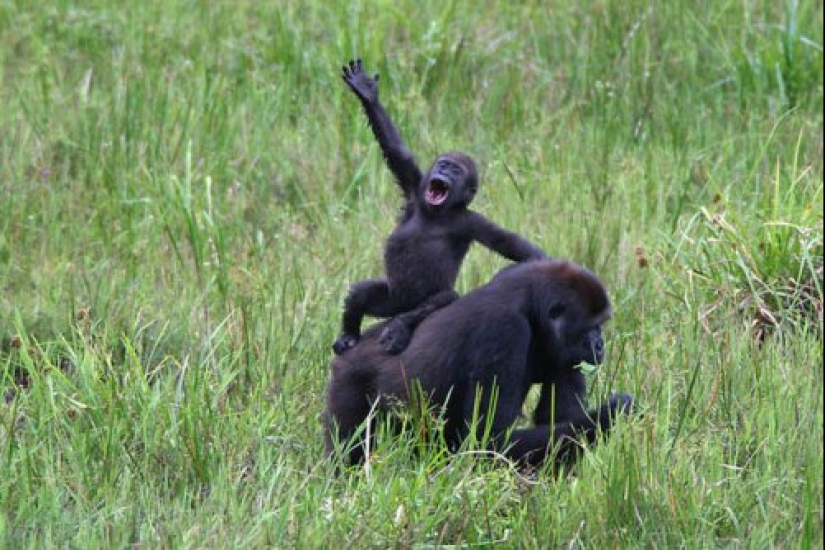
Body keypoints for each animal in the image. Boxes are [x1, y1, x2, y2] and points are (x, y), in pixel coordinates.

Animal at [322, 260, 632, 468]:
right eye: (590, 327)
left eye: (601, 325)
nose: (599, 345)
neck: (532, 305)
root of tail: (355, 344)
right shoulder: (504, 329)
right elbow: (490, 440)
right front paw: (614, 412)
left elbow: (560, 421)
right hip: (348, 379)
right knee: (349, 445)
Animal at [334, 58, 548, 356]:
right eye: (443, 164)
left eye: (456, 171)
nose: (444, 172)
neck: (437, 212)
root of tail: (402, 307)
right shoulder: (415, 187)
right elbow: (397, 151)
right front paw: (367, 93)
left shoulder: (471, 221)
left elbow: (518, 249)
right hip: (392, 299)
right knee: (362, 293)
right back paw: (349, 333)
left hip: (411, 304)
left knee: (444, 297)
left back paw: (401, 326)